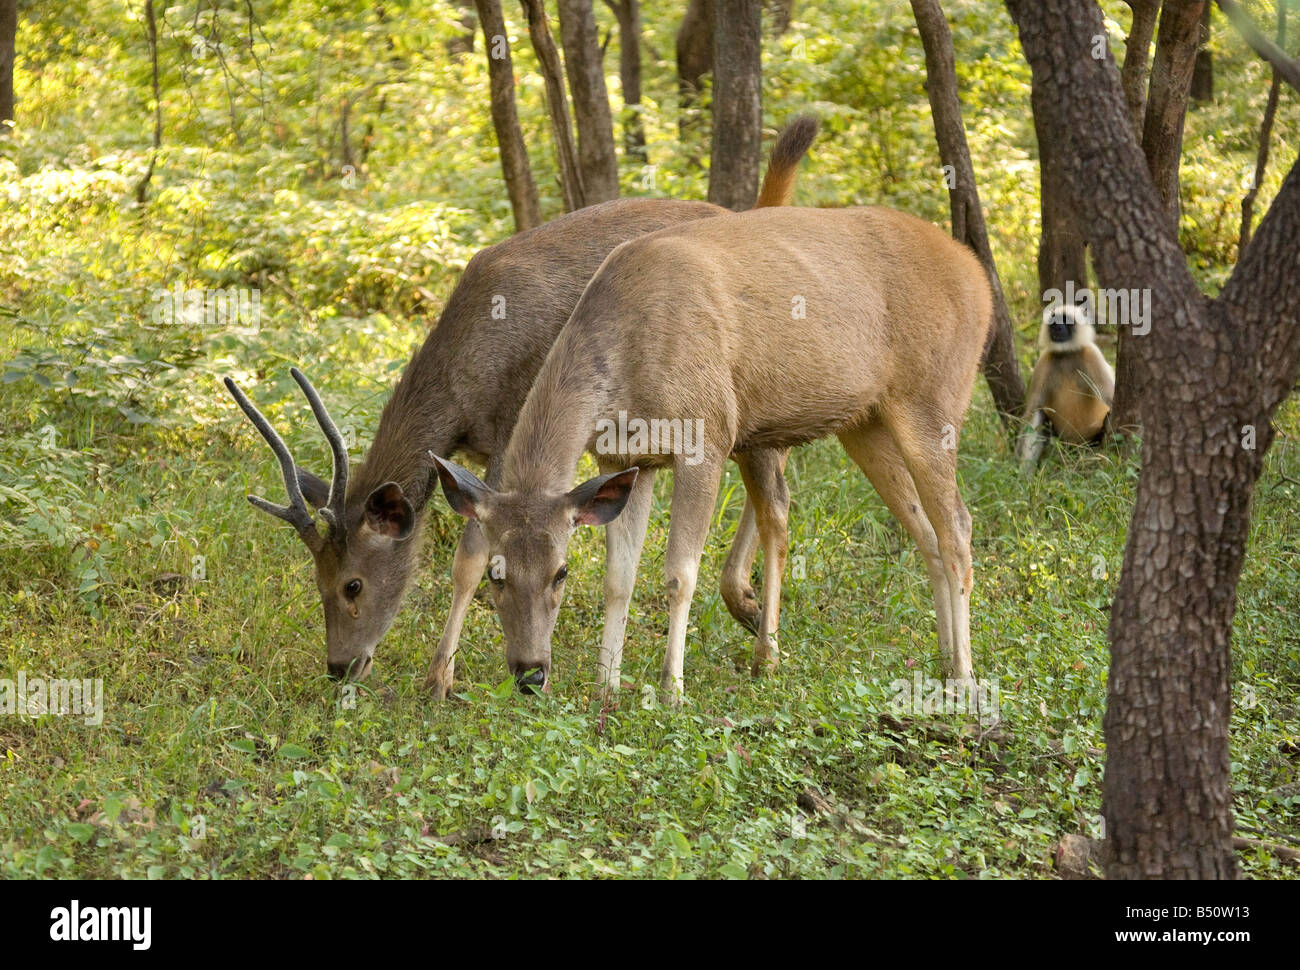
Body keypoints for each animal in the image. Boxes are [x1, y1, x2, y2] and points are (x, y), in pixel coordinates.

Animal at [220, 117, 811, 691]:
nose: (340, 667)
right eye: (316, 580)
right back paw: (747, 605)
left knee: (774, 479)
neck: (465, 388)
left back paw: (753, 620)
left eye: (353, 584)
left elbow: (469, 557)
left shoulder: (512, 433)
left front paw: (439, 679)